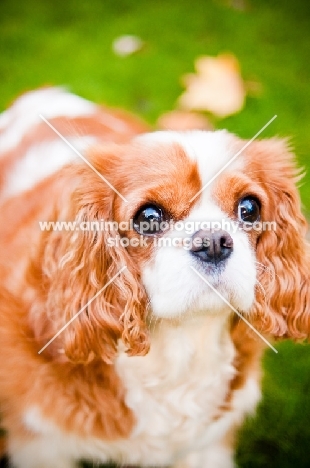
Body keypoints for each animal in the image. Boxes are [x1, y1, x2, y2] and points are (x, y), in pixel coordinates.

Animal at [0, 88, 308, 468]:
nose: (214, 241)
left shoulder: (208, 445)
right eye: (148, 217)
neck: (180, 341)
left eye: (249, 208)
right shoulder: (40, 444)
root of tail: (44, 92)